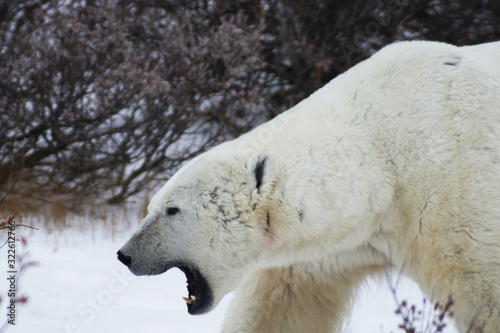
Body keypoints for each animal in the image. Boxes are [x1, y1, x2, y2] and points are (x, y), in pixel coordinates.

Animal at [118, 40, 500, 330]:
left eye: (172, 209)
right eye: (153, 204)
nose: (125, 254)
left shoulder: (454, 199)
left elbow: (485, 295)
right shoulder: (329, 246)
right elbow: (281, 306)